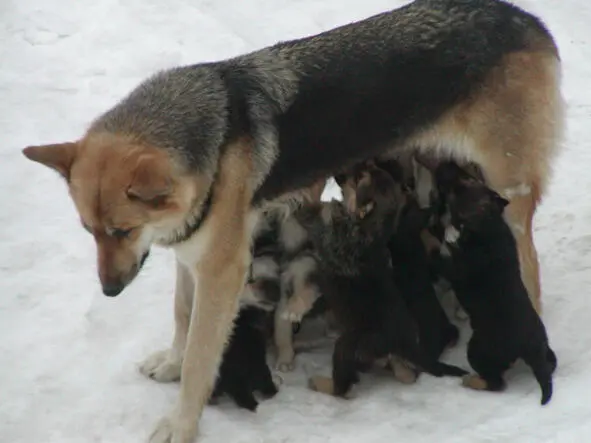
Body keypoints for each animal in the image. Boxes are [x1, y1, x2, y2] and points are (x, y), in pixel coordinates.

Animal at [428, 162, 556, 406]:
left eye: (461, 185)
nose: (442, 165)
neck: (489, 223)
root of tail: (529, 347)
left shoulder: (459, 268)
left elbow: (445, 259)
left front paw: (437, 246)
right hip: (543, 346)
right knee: (549, 363)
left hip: (478, 350)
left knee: (496, 383)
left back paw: (471, 381)